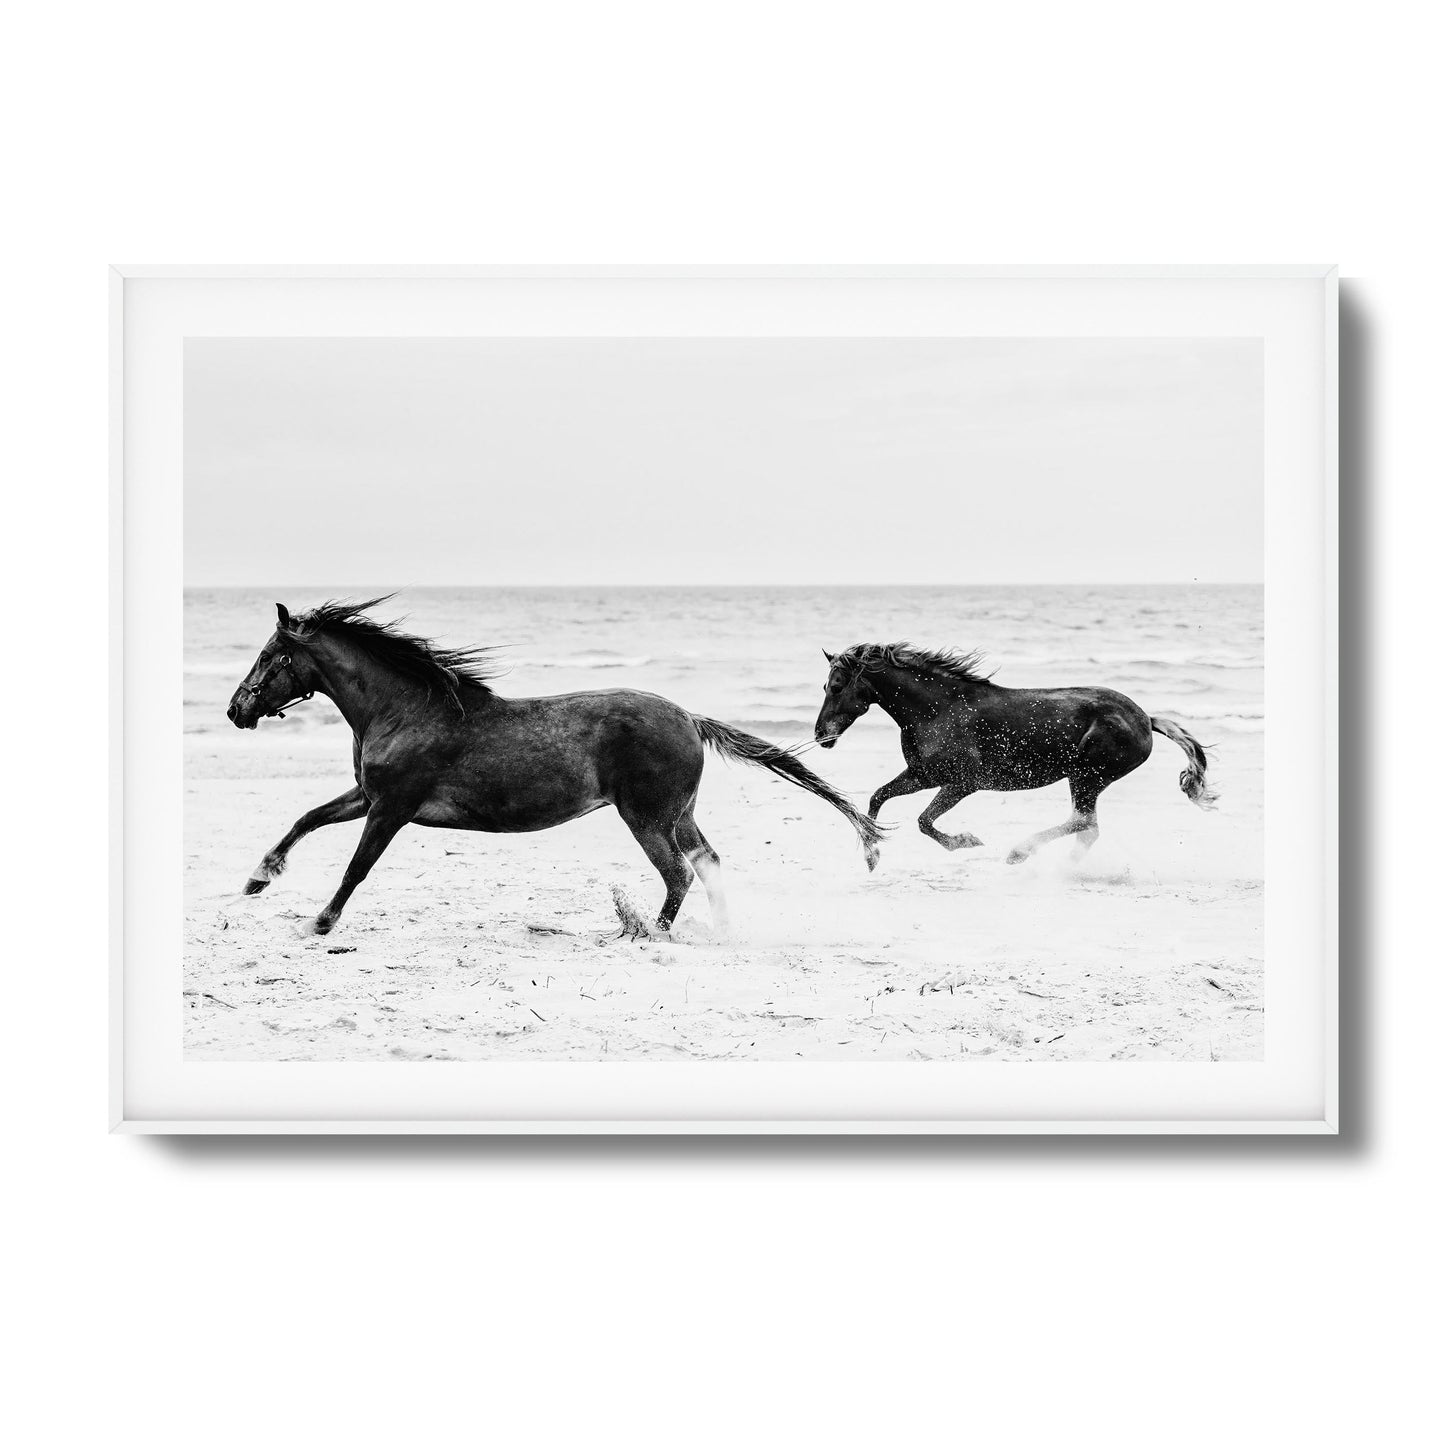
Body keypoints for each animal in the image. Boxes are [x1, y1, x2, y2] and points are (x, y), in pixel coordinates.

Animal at [226, 598, 883, 937]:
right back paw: (718, 931)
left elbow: (357, 867)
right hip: (679, 814)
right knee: (708, 863)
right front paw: (258, 879)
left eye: (270, 655)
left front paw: (320, 922)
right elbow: (306, 818)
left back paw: (651, 935)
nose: (235, 710)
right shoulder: (367, 796)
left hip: (645, 817)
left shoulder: (392, 807)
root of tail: (690, 718)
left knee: (678, 874)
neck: (406, 710)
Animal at [813, 643, 1217, 864]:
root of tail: (1146, 719)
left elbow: (924, 821)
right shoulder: (924, 775)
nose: (819, 735)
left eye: (837, 685)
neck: (938, 709)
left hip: (1087, 776)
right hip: (1086, 779)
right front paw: (872, 855)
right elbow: (877, 798)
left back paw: (1020, 854)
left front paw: (967, 842)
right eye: (825, 685)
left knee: (1083, 823)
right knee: (1087, 829)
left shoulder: (962, 783)